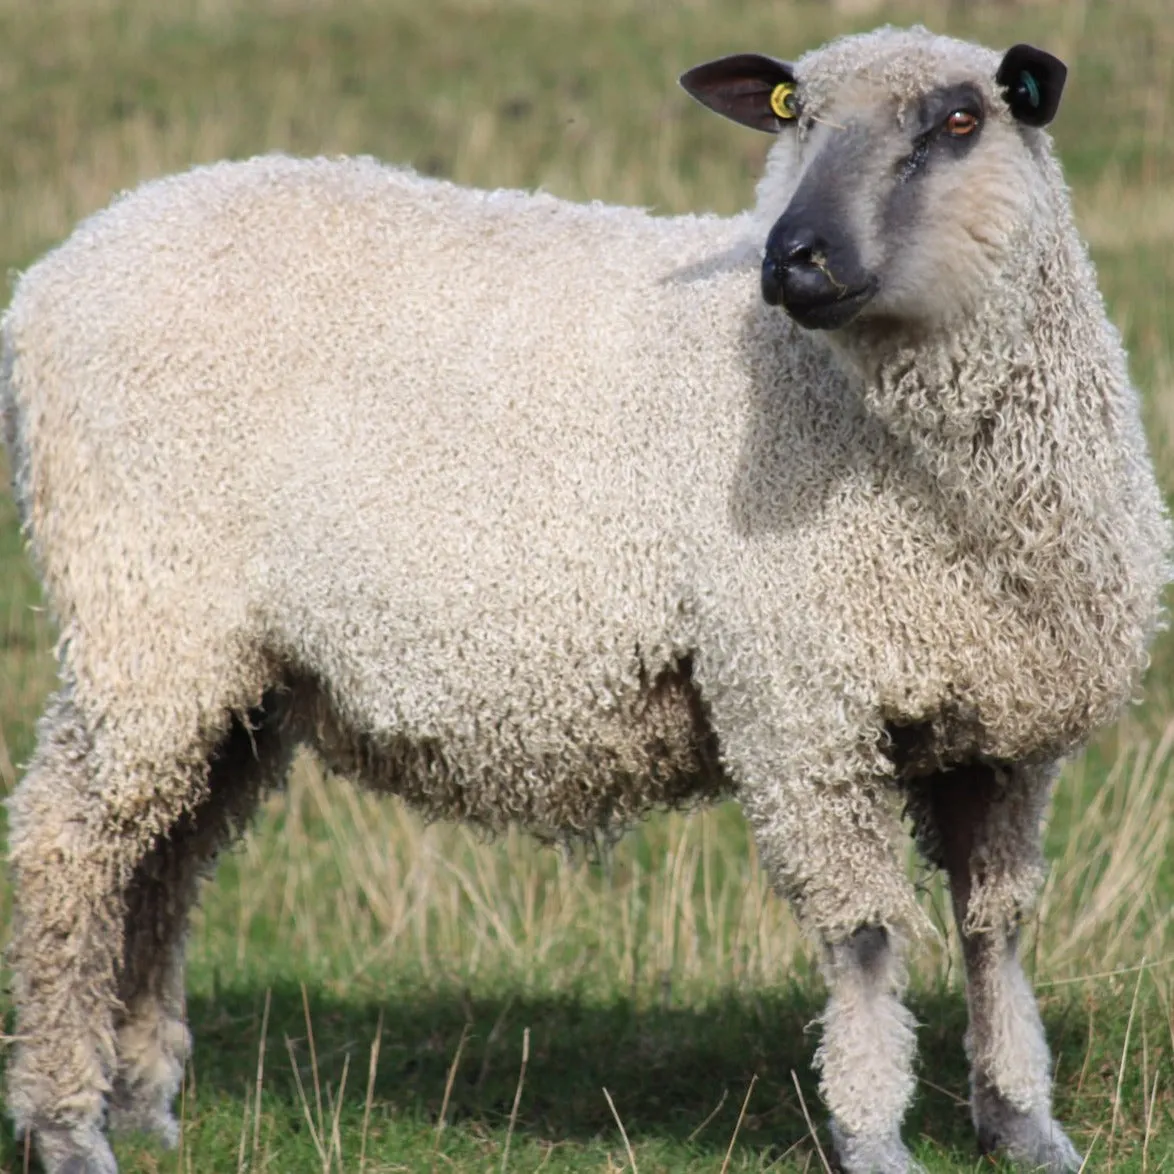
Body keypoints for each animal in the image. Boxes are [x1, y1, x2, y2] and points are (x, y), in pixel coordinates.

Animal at [4, 20, 1169, 1174]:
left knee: (165, 860)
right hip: (142, 608)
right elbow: (866, 936)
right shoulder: (796, 702)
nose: (792, 258)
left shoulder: (1004, 731)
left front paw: (1023, 1126)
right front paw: (875, 1132)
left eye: (960, 120)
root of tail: (64, 263)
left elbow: (995, 927)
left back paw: (139, 1103)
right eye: (794, 116)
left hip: (233, 668)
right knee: (68, 848)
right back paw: (67, 1123)